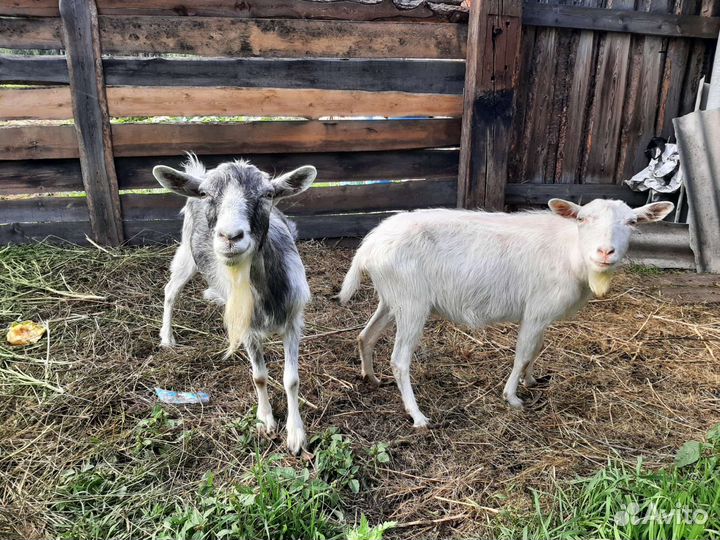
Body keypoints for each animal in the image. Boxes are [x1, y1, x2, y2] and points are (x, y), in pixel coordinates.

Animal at [153, 155, 317, 454]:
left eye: (268, 194)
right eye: (206, 194)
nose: (230, 237)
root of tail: (196, 174)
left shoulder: (293, 321)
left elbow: (291, 379)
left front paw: (296, 435)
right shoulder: (248, 329)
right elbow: (259, 376)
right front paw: (265, 420)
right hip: (186, 254)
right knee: (170, 290)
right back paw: (167, 337)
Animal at [339, 198, 674, 427]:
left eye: (632, 222)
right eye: (582, 219)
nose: (605, 252)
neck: (571, 251)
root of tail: (368, 247)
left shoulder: (541, 315)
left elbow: (536, 350)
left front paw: (532, 380)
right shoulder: (537, 310)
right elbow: (523, 352)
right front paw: (512, 397)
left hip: (392, 298)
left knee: (365, 336)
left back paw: (371, 378)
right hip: (412, 303)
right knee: (399, 360)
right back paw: (418, 415)